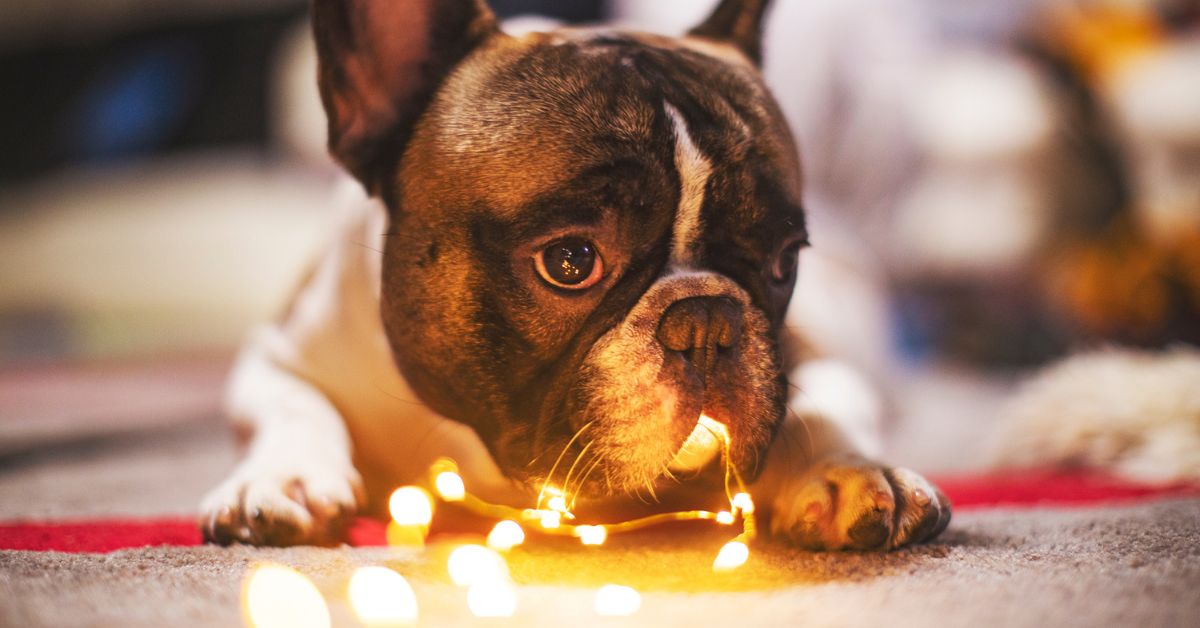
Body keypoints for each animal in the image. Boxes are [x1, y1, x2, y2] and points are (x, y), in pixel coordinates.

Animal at [201, 0, 950, 549]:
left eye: (782, 260)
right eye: (570, 262)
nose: (707, 319)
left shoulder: (810, 354)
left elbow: (822, 406)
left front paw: (853, 473)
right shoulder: (282, 350)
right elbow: (292, 405)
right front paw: (282, 479)